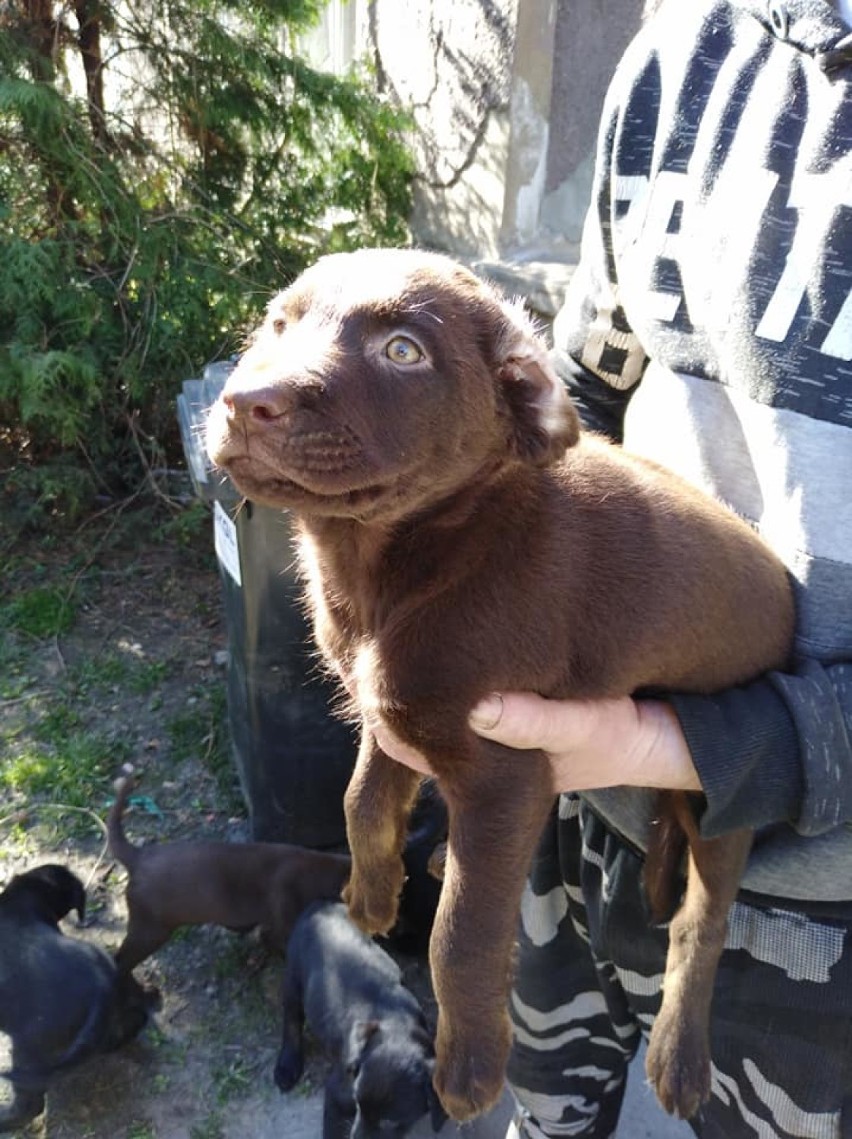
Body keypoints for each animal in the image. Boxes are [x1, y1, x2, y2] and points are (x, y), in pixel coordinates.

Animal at [274, 897, 448, 1139]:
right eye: (357, 1104)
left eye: (388, 1122)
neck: (396, 1023)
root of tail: (319, 905)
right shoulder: (336, 1095)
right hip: (293, 978)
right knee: (291, 1019)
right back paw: (287, 1066)